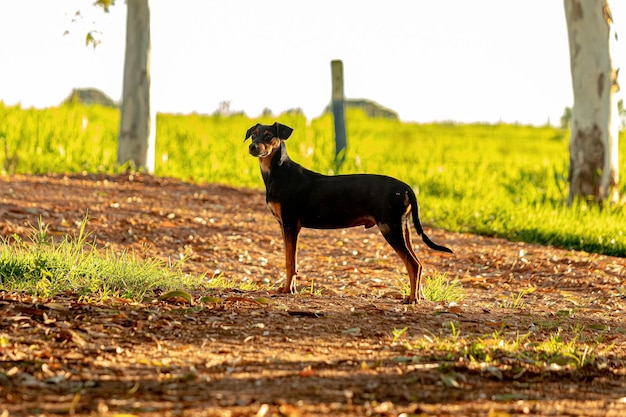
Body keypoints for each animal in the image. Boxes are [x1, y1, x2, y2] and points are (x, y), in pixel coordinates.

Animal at [243, 121, 448, 302]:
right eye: (253, 135)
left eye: (268, 136)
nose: (252, 147)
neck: (278, 173)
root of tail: (406, 187)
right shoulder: (284, 225)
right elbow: (291, 261)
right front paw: (288, 288)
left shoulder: (290, 225)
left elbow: (290, 262)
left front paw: (288, 290)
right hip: (403, 228)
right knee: (419, 263)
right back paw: (419, 296)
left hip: (390, 227)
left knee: (413, 264)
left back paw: (412, 299)